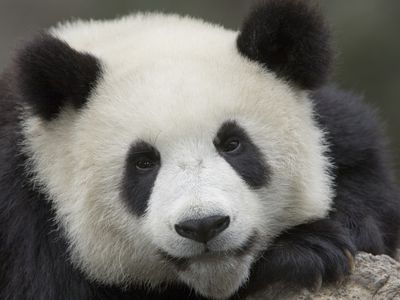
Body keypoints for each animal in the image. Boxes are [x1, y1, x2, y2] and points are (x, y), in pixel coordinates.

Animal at [0, 0, 400, 298]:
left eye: (233, 144)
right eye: (143, 163)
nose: (203, 225)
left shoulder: (340, 129)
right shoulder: (22, 223)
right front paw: (307, 250)